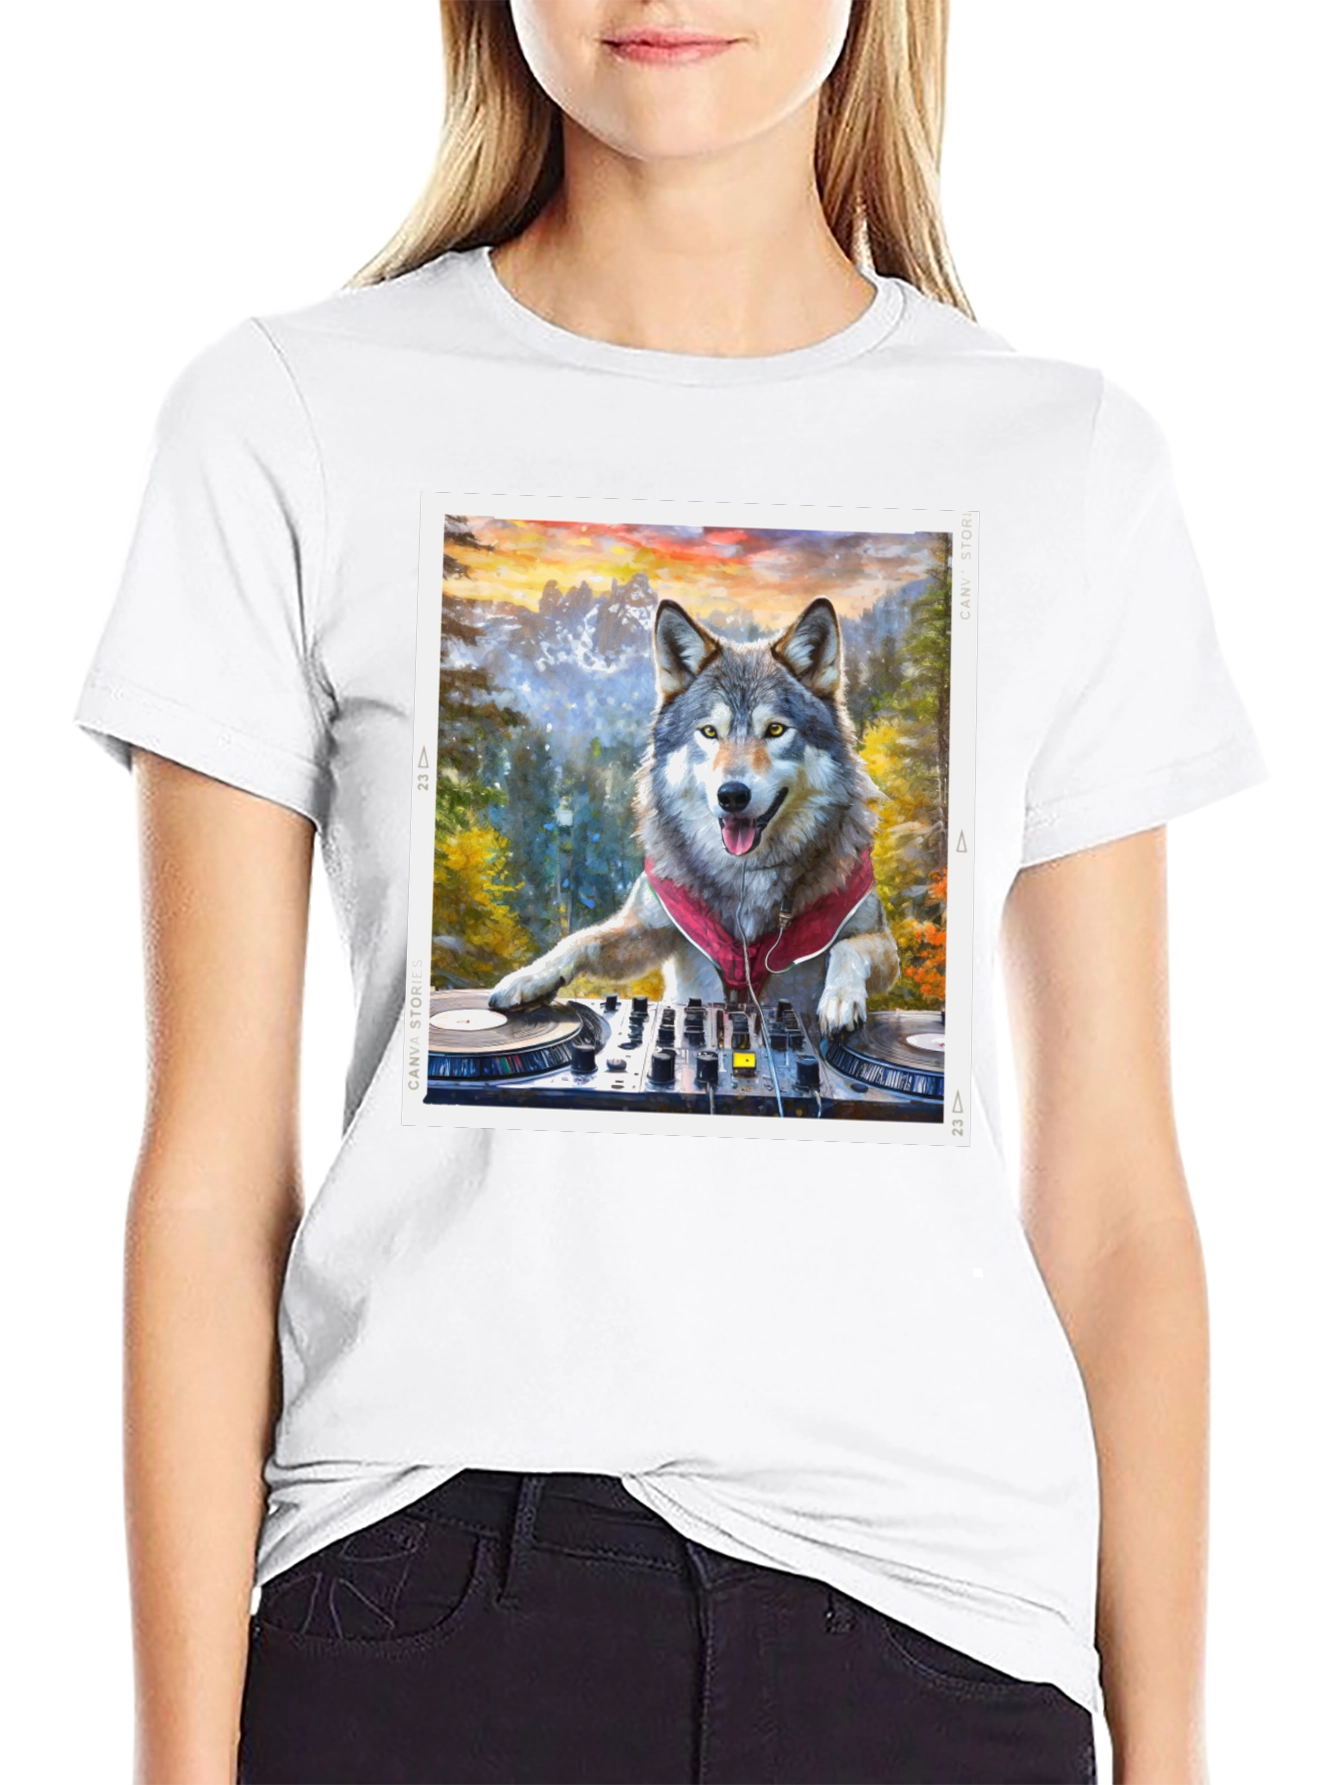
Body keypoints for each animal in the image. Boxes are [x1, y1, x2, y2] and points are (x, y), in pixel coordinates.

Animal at [488, 597, 900, 1035]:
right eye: (709, 732)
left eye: (774, 730)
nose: (732, 795)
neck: (744, 879)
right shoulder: (651, 930)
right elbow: (581, 938)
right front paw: (529, 976)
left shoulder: (881, 941)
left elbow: (847, 948)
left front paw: (839, 999)